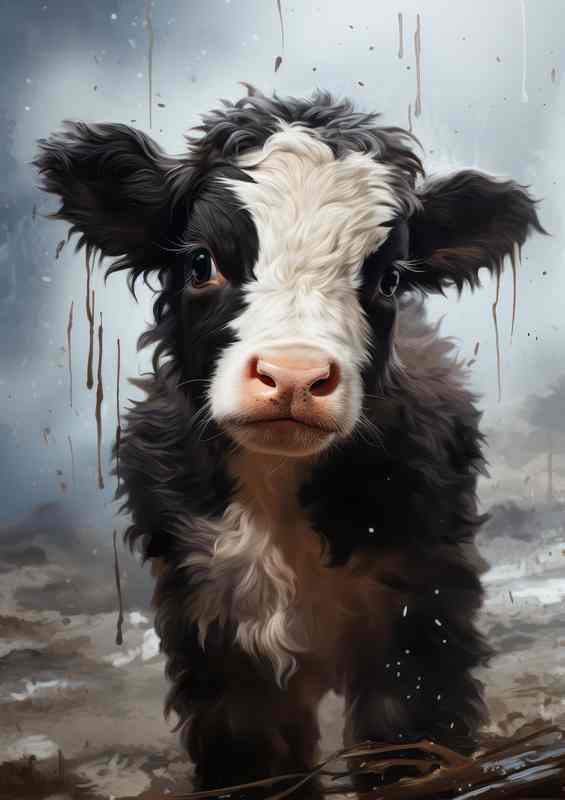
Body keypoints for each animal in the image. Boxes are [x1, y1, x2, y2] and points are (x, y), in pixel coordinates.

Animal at [34, 86, 544, 795]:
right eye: (201, 262)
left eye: (388, 279)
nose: (295, 376)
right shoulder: (214, 635)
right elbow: (255, 758)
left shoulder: (421, 615)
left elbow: (407, 741)